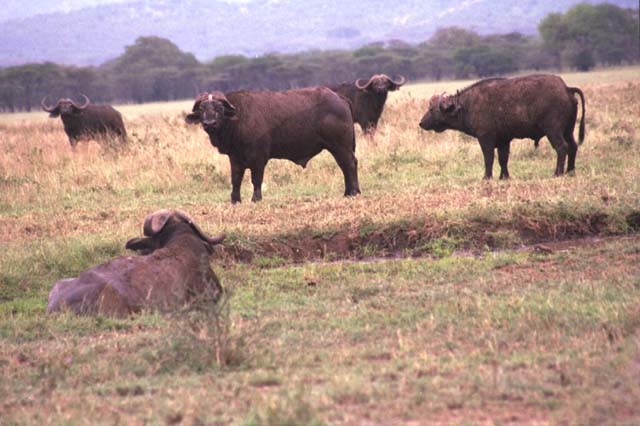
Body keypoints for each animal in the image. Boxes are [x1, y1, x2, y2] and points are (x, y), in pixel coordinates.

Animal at [185, 88, 360, 203]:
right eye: (201, 109)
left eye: (220, 108)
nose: (209, 123)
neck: (238, 119)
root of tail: (340, 98)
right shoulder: (235, 158)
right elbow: (236, 179)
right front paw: (235, 200)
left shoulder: (258, 158)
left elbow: (256, 179)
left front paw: (256, 199)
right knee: (345, 166)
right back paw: (347, 193)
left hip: (340, 146)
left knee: (350, 164)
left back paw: (354, 192)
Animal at [420, 75, 584, 178]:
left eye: (431, 109)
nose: (421, 123)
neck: (467, 106)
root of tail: (566, 88)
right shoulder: (504, 141)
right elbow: (503, 159)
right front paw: (504, 176)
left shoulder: (485, 139)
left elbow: (489, 158)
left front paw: (487, 177)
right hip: (568, 131)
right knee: (573, 146)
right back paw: (571, 172)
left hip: (553, 131)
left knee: (562, 147)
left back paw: (558, 173)